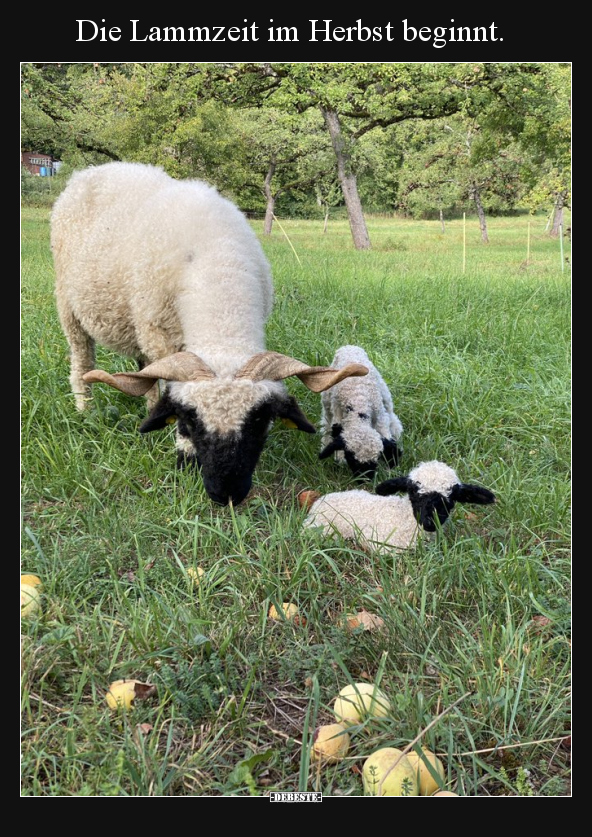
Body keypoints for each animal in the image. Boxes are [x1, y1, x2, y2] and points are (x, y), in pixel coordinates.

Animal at [51, 162, 368, 502]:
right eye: (190, 418)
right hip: (70, 306)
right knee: (82, 362)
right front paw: (183, 456)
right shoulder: (162, 336)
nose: (227, 493)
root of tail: (98, 169)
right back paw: (85, 410)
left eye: (260, 420)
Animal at [320, 344, 402, 476]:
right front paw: (339, 457)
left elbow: (385, 433)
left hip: (384, 392)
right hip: (327, 397)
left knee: (390, 410)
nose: (365, 478)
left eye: (376, 460)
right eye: (351, 459)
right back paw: (325, 442)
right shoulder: (338, 412)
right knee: (326, 421)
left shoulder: (379, 414)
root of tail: (348, 346)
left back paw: (396, 429)